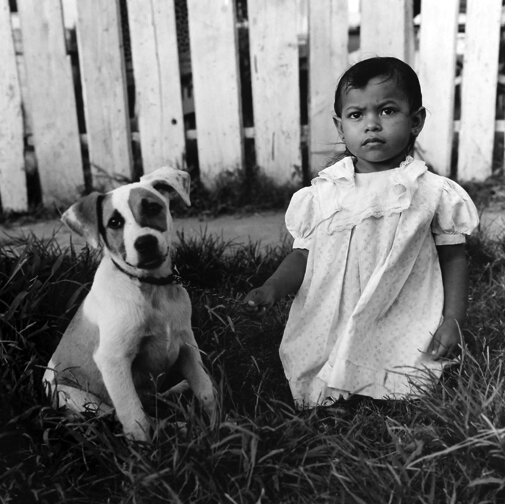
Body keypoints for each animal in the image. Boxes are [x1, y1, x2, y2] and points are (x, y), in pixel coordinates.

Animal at [42, 166, 215, 440]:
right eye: (114, 222)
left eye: (153, 208)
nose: (145, 243)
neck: (151, 287)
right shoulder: (114, 360)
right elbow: (135, 418)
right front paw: (146, 451)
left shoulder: (187, 344)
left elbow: (205, 389)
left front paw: (219, 425)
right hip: (81, 401)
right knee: (132, 415)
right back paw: (178, 426)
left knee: (155, 400)